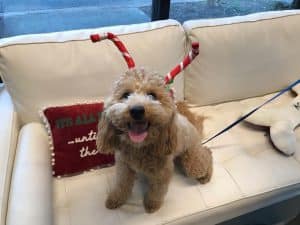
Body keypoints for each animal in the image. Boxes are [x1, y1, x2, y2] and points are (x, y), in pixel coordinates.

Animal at [97, 68, 212, 213]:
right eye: (126, 94)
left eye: (152, 95)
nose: (137, 110)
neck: (139, 147)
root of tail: (192, 125)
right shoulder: (124, 166)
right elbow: (121, 184)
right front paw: (115, 199)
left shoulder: (162, 172)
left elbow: (157, 190)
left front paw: (152, 204)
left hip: (193, 160)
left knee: (206, 154)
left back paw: (205, 176)